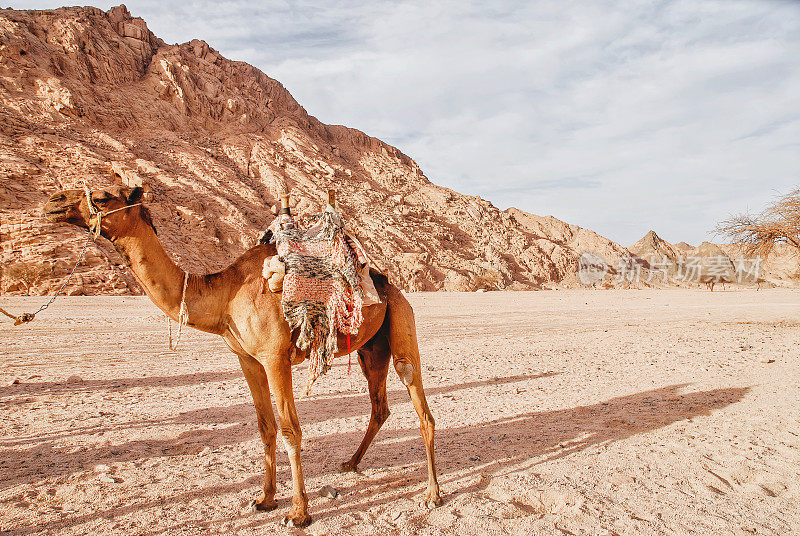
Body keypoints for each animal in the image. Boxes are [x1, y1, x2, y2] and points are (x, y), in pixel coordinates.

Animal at [42, 185, 444, 528]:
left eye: (103, 196)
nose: (54, 201)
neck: (225, 296)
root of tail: (385, 281)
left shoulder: (274, 356)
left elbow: (290, 429)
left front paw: (299, 512)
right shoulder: (248, 360)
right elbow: (265, 427)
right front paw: (265, 499)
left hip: (401, 322)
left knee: (420, 405)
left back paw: (432, 494)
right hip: (370, 349)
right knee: (380, 407)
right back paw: (351, 462)